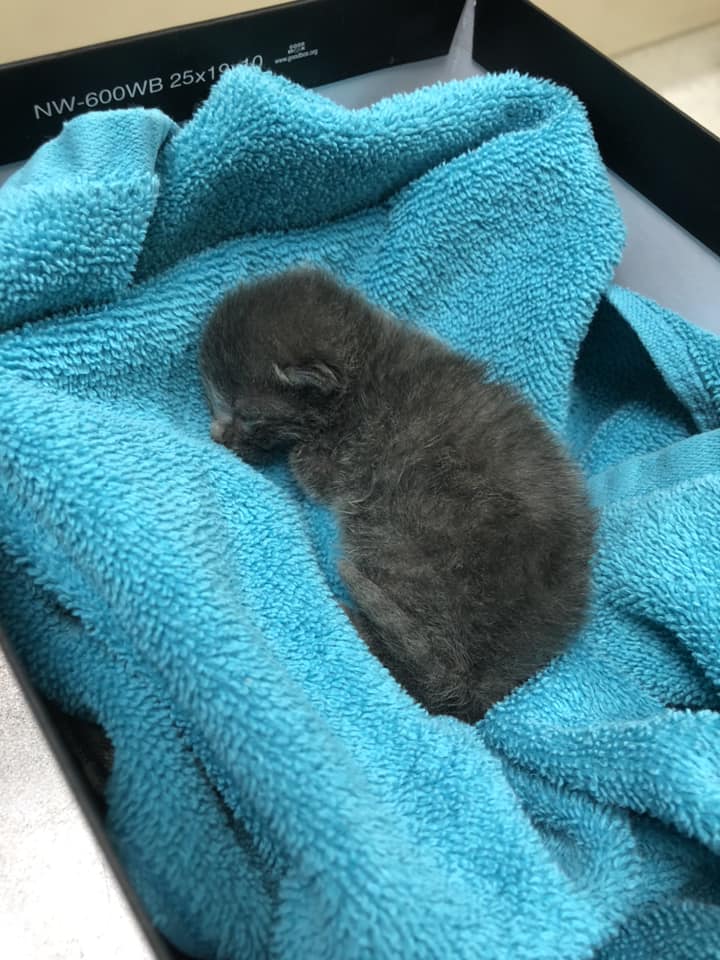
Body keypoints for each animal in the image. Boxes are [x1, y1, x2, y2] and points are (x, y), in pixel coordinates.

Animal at [198, 264, 596, 720]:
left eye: (247, 416)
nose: (218, 434)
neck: (365, 364)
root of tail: (481, 682)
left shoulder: (341, 459)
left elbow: (308, 469)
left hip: (394, 538)